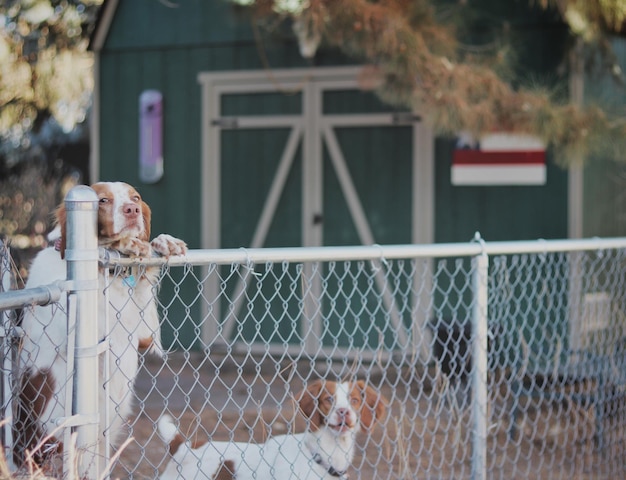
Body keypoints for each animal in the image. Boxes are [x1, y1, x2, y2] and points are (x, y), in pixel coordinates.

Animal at [14, 182, 185, 470]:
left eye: (136, 197)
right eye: (103, 200)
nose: (132, 210)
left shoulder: (142, 333)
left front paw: (162, 242)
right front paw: (129, 242)